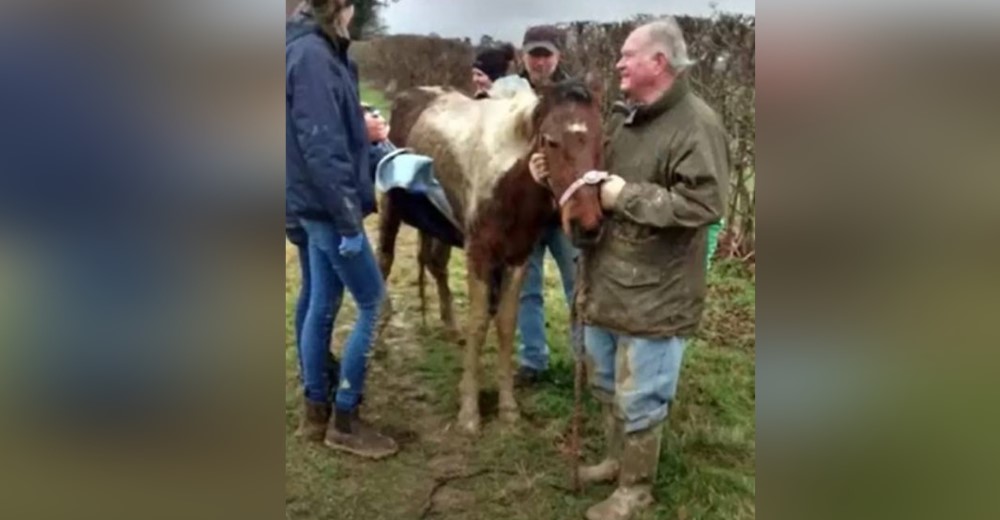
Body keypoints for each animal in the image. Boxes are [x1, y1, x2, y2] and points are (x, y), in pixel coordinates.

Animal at [378, 77, 604, 434]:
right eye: (551, 141)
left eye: (601, 138)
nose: (587, 225)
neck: (508, 183)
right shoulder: (480, 256)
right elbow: (479, 322)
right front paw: (469, 412)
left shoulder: (517, 258)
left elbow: (506, 323)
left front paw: (508, 407)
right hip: (391, 209)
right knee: (384, 262)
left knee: (435, 265)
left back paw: (449, 327)